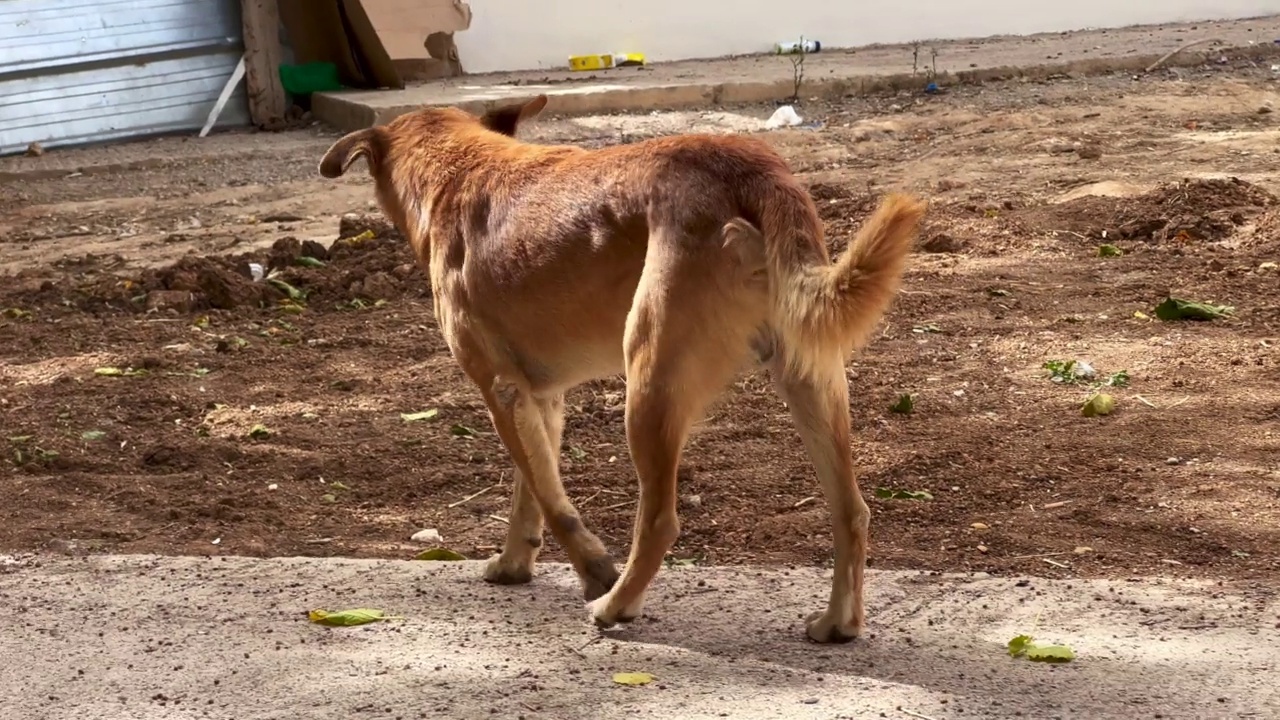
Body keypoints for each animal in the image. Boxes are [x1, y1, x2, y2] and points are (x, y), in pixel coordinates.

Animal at [317, 95, 921, 638]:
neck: (457, 168)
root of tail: (745, 165)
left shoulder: (499, 390)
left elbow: (551, 500)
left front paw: (592, 571)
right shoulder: (540, 399)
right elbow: (530, 491)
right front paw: (515, 564)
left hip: (648, 385)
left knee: (659, 521)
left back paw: (616, 605)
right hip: (813, 382)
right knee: (852, 511)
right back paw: (839, 622)